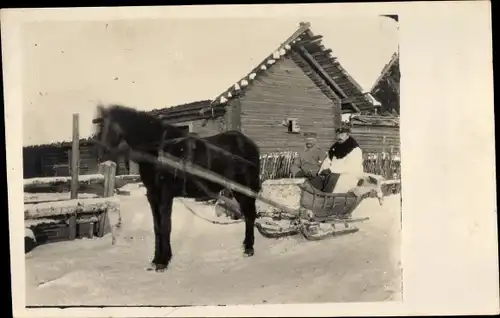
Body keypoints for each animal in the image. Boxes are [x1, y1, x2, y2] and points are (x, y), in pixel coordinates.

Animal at [92, 103, 262, 270]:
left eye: (107, 126)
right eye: (97, 127)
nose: (101, 156)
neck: (158, 150)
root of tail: (250, 144)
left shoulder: (166, 193)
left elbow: (165, 226)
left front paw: (163, 261)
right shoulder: (152, 194)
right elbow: (157, 226)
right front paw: (156, 259)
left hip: (244, 188)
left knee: (250, 215)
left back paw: (249, 248)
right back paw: (246, 245)